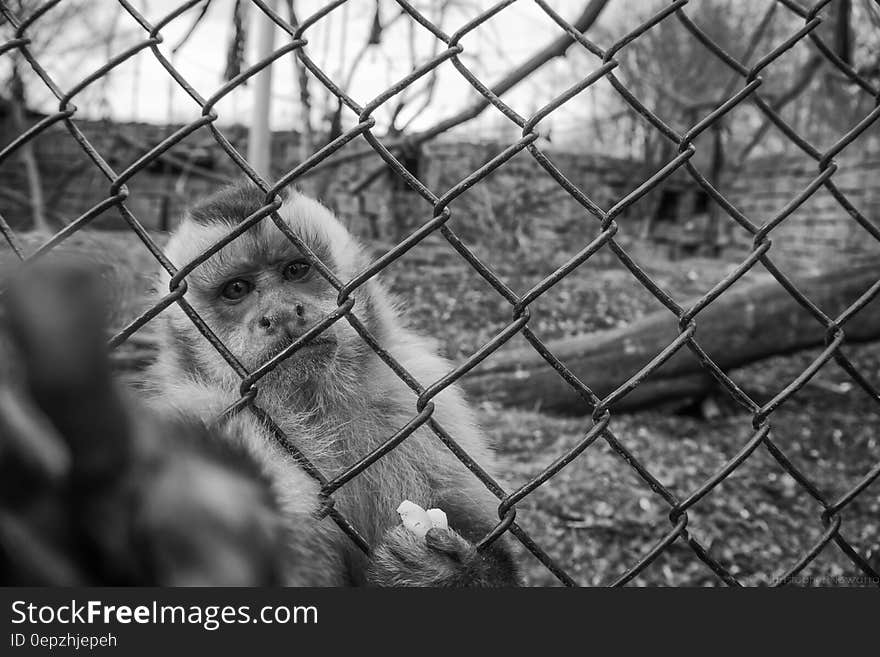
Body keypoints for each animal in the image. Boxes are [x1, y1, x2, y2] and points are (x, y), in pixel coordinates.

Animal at [147, 181, 520, 584]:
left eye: (296, 269)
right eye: (236, 290)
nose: (281, 313)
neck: (311, 405)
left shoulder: (414, 395)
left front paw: (442, 573)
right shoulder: (200, 409)